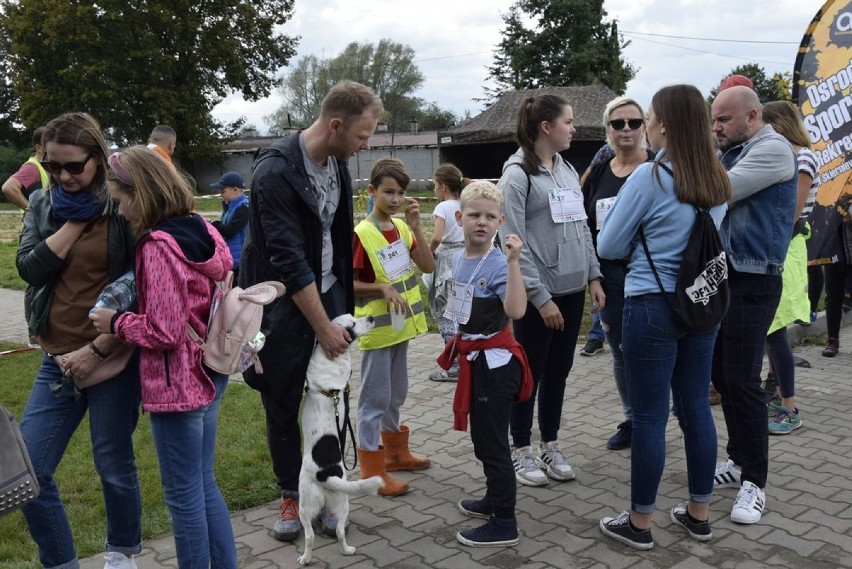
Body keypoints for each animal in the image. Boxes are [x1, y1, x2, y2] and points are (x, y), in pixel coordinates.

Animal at [298, 316, 382, 564]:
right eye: (352, 324)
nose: (371, 317)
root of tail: (326, 475)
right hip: (341, 503)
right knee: (338, 531)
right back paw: (346, 551)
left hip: (306, 505)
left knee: (311, 537)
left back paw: (305, 559)